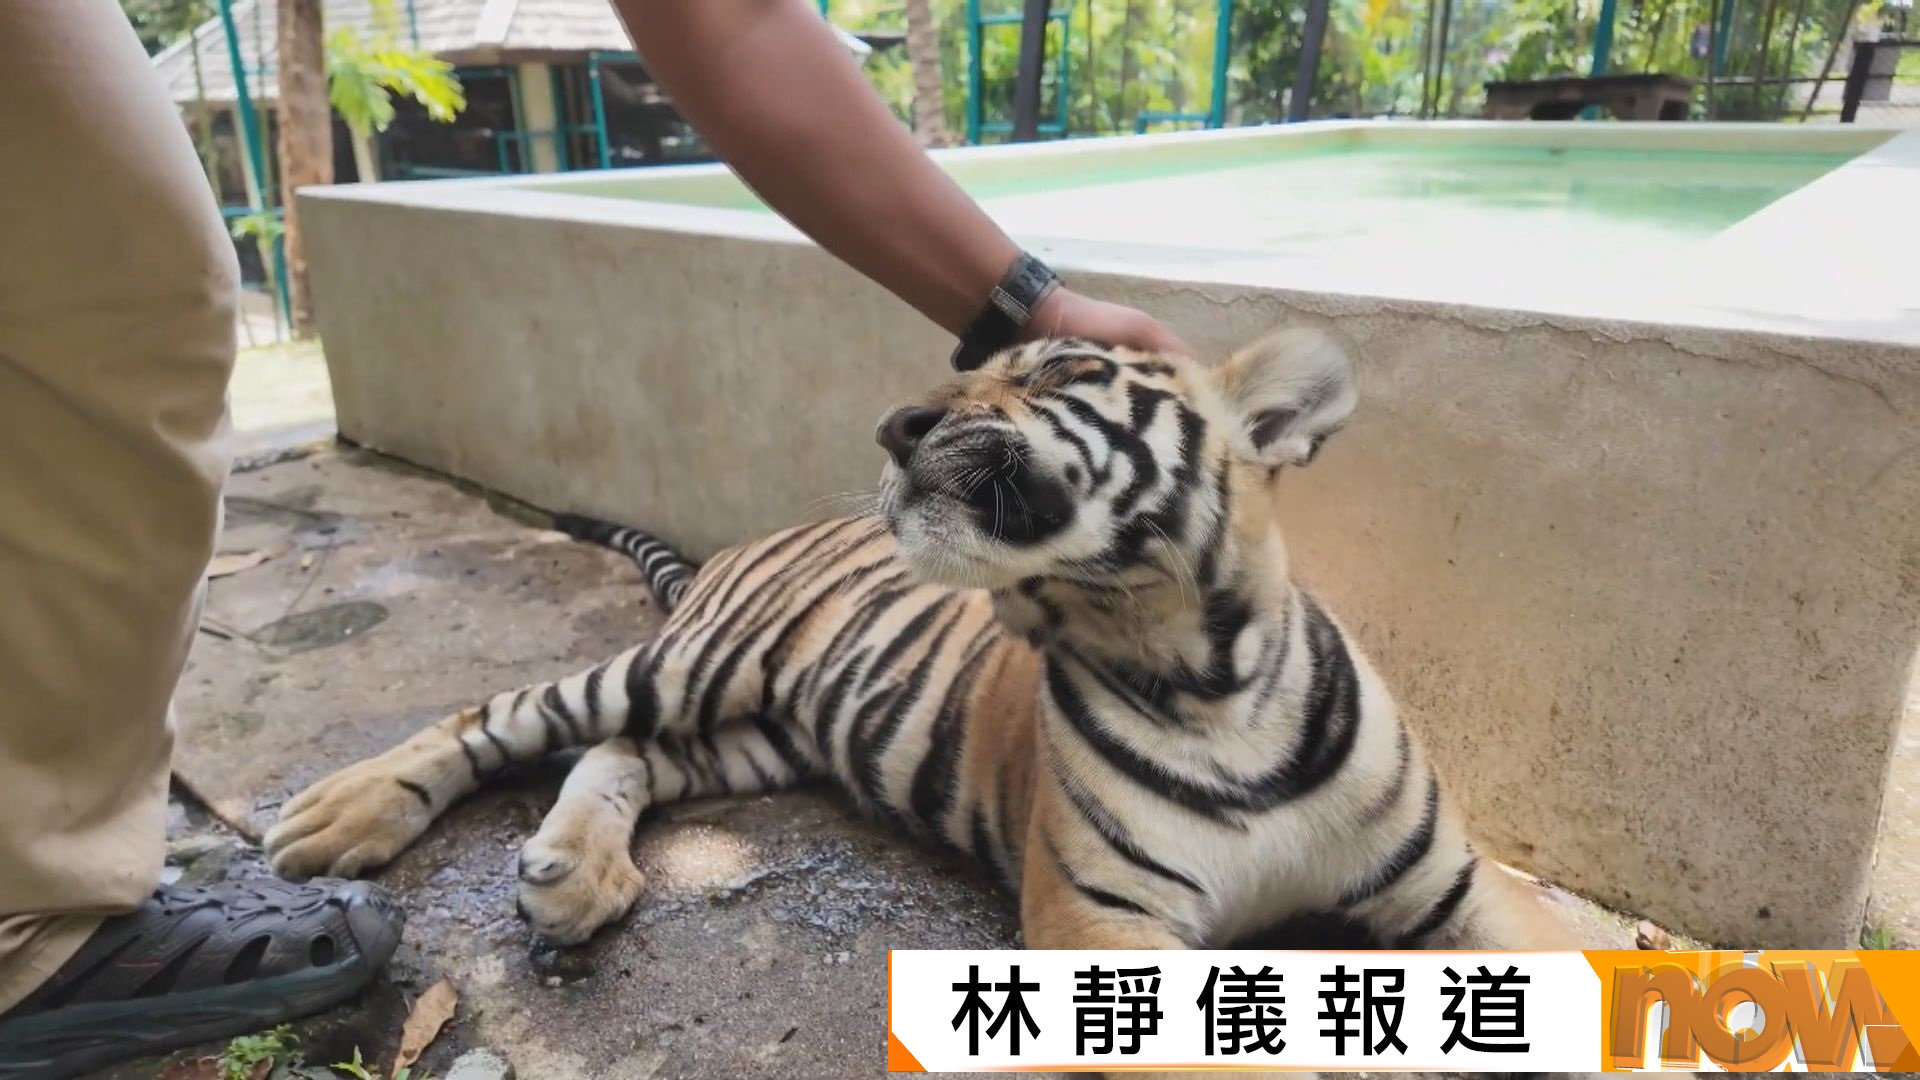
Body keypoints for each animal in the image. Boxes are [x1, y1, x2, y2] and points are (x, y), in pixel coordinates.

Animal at [265, 326, 1576, 980]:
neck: (1207, 675)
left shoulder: (1463, 895)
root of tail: (756, 539)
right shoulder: (1104, 925)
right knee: (504, 714)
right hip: (699, 665)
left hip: (759, 737)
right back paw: (338, 813)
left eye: (1063, 369)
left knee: (618, 754)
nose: (895, 425)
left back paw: (576, 876)